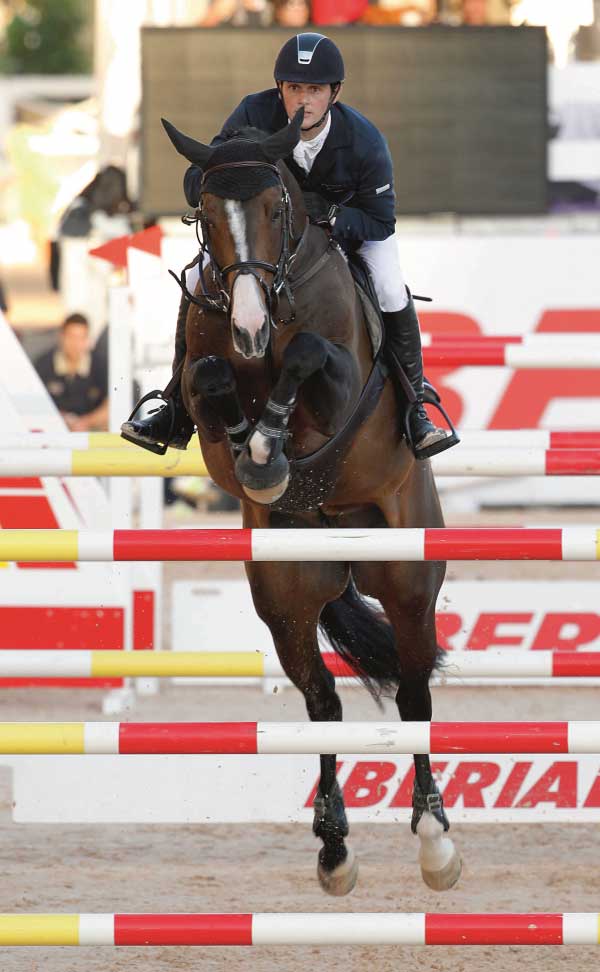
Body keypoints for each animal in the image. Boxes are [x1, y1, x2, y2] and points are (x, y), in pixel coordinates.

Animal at [162, 108, 462, 896]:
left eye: (276, 209)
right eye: (206, 213)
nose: (248, 327)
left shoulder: (340, 384)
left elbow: (306, 359)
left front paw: (268, 439)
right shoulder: (205, 378)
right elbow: (208, 380)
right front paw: (255, 449)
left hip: (407, 578)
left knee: (413, 695)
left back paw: (435, 841)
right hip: (288, 595)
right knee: (322, 701)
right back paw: (333, 849)